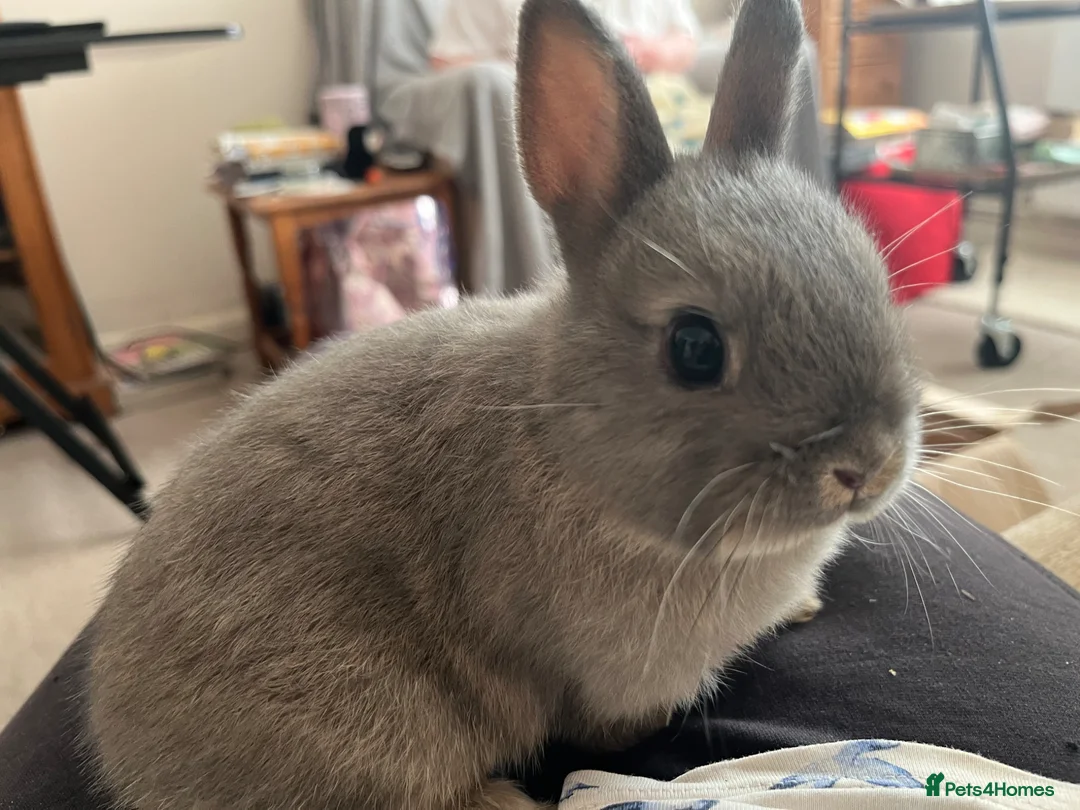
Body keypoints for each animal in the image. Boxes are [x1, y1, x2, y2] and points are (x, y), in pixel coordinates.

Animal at [87, 0, 920, 807]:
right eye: (695, 347)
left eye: (874, 282)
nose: (867, 467)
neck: (566, 438)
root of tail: (130, 760)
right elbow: (605, 723)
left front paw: (800, 605)